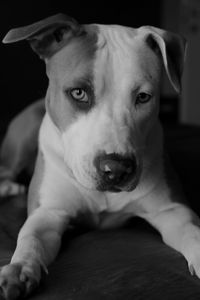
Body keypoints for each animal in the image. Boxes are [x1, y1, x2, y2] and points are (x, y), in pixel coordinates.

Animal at [0, 13, 198, 300]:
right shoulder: (48, 213)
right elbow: (31, 238)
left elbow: (193, 235)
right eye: (78, 93)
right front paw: (19, 268)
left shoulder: (172, 210)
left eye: (143, 97)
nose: (116, 169)